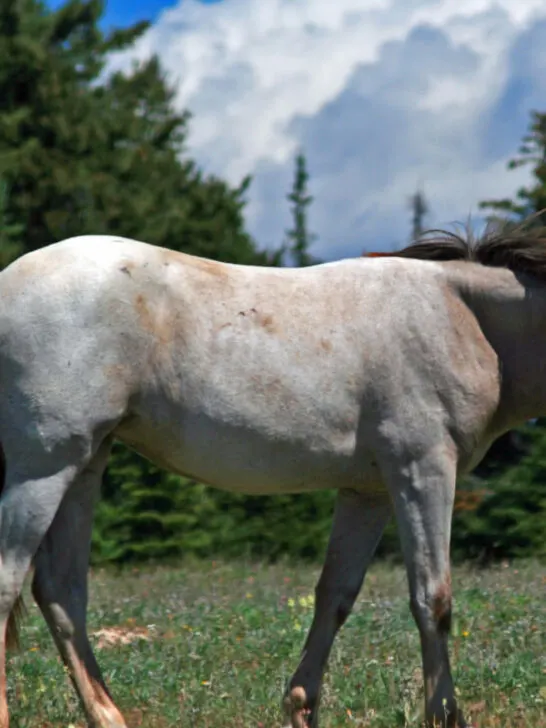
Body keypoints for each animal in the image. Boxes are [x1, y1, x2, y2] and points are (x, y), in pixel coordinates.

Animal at [0, 232, 536, 728]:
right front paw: (445, 714)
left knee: (61, 591)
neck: (462, 316)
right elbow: (433, 598)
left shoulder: (368, 492)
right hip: (42, 469)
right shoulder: (423, 469)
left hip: (85, 464)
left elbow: (335, 595)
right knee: (12, 582)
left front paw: (301, 707)